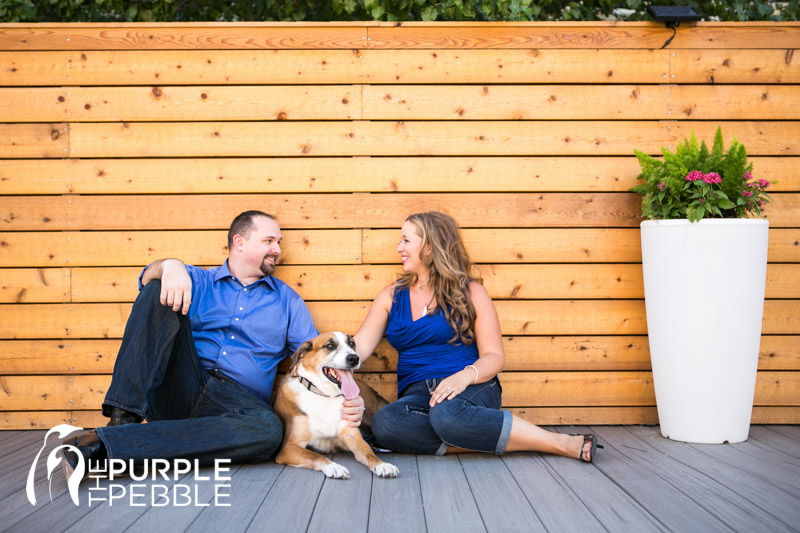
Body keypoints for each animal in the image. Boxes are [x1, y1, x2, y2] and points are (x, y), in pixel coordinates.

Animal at [276, 332, 400, 478]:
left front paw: (382, 464)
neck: (325, 395)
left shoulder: (352, 436)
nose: (354, 358)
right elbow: (314, 455)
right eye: (330, 346)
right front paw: (334, 467)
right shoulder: (289, 447)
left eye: (351, 343)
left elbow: (369, 452)